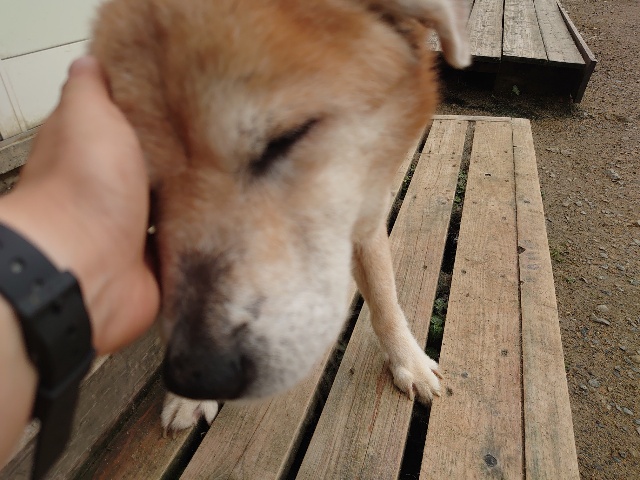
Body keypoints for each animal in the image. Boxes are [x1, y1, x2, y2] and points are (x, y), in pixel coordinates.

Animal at [91, 0, 470, 432]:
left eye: (286, 138)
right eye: (144, 186)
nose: (198, 375)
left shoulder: (365, 217)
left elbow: (384, 298)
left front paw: (409, 361)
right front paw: (186, 398)